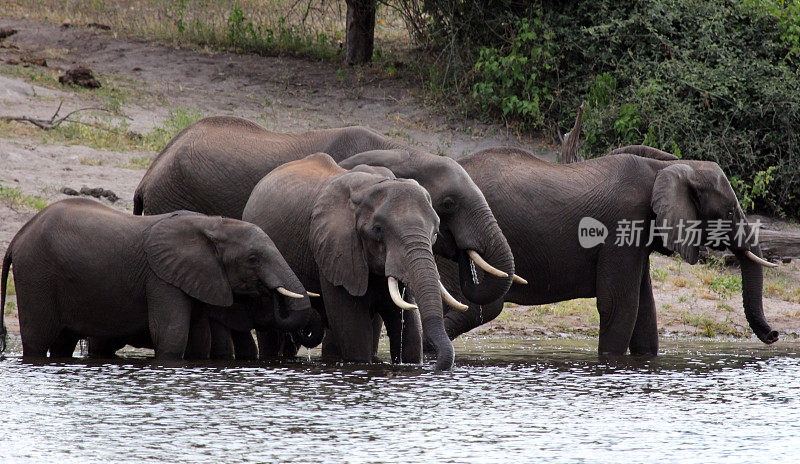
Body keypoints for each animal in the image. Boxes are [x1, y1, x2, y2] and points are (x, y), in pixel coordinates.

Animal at [0, 197, 318, 358]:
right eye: (253, 259)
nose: (271, 292)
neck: (214, 224)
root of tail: (17, 238)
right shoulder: (162, 278)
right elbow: (172, 335)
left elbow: (198, 340)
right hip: (36, 274)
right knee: (37, 340)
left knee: (63, 343)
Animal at [244, 154, 468, 372]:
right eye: (378, 230)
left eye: (435, 232)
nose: (436, 366)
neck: (370, 187)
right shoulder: (335, 249)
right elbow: (354, 331)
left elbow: (409, 330)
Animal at [434, 147, 780, 354]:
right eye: (730, 212)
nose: (775, 335)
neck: (664, 167)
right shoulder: (622, 225)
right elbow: (619, 305)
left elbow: (645, 309)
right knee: (477, 307)